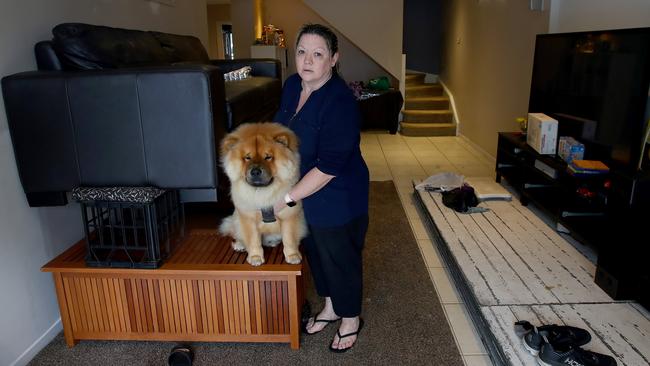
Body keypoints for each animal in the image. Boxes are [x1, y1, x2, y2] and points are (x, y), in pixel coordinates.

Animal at [218, 123, 306, 266]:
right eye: (247, 157)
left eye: (268, 157)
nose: (255, 171)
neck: (262, 192)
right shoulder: (248, 218)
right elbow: (253, 240)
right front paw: (255, 257)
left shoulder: (289, 216)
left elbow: (289, 238)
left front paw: (292, 256)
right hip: (236, 219)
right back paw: (240, 245)